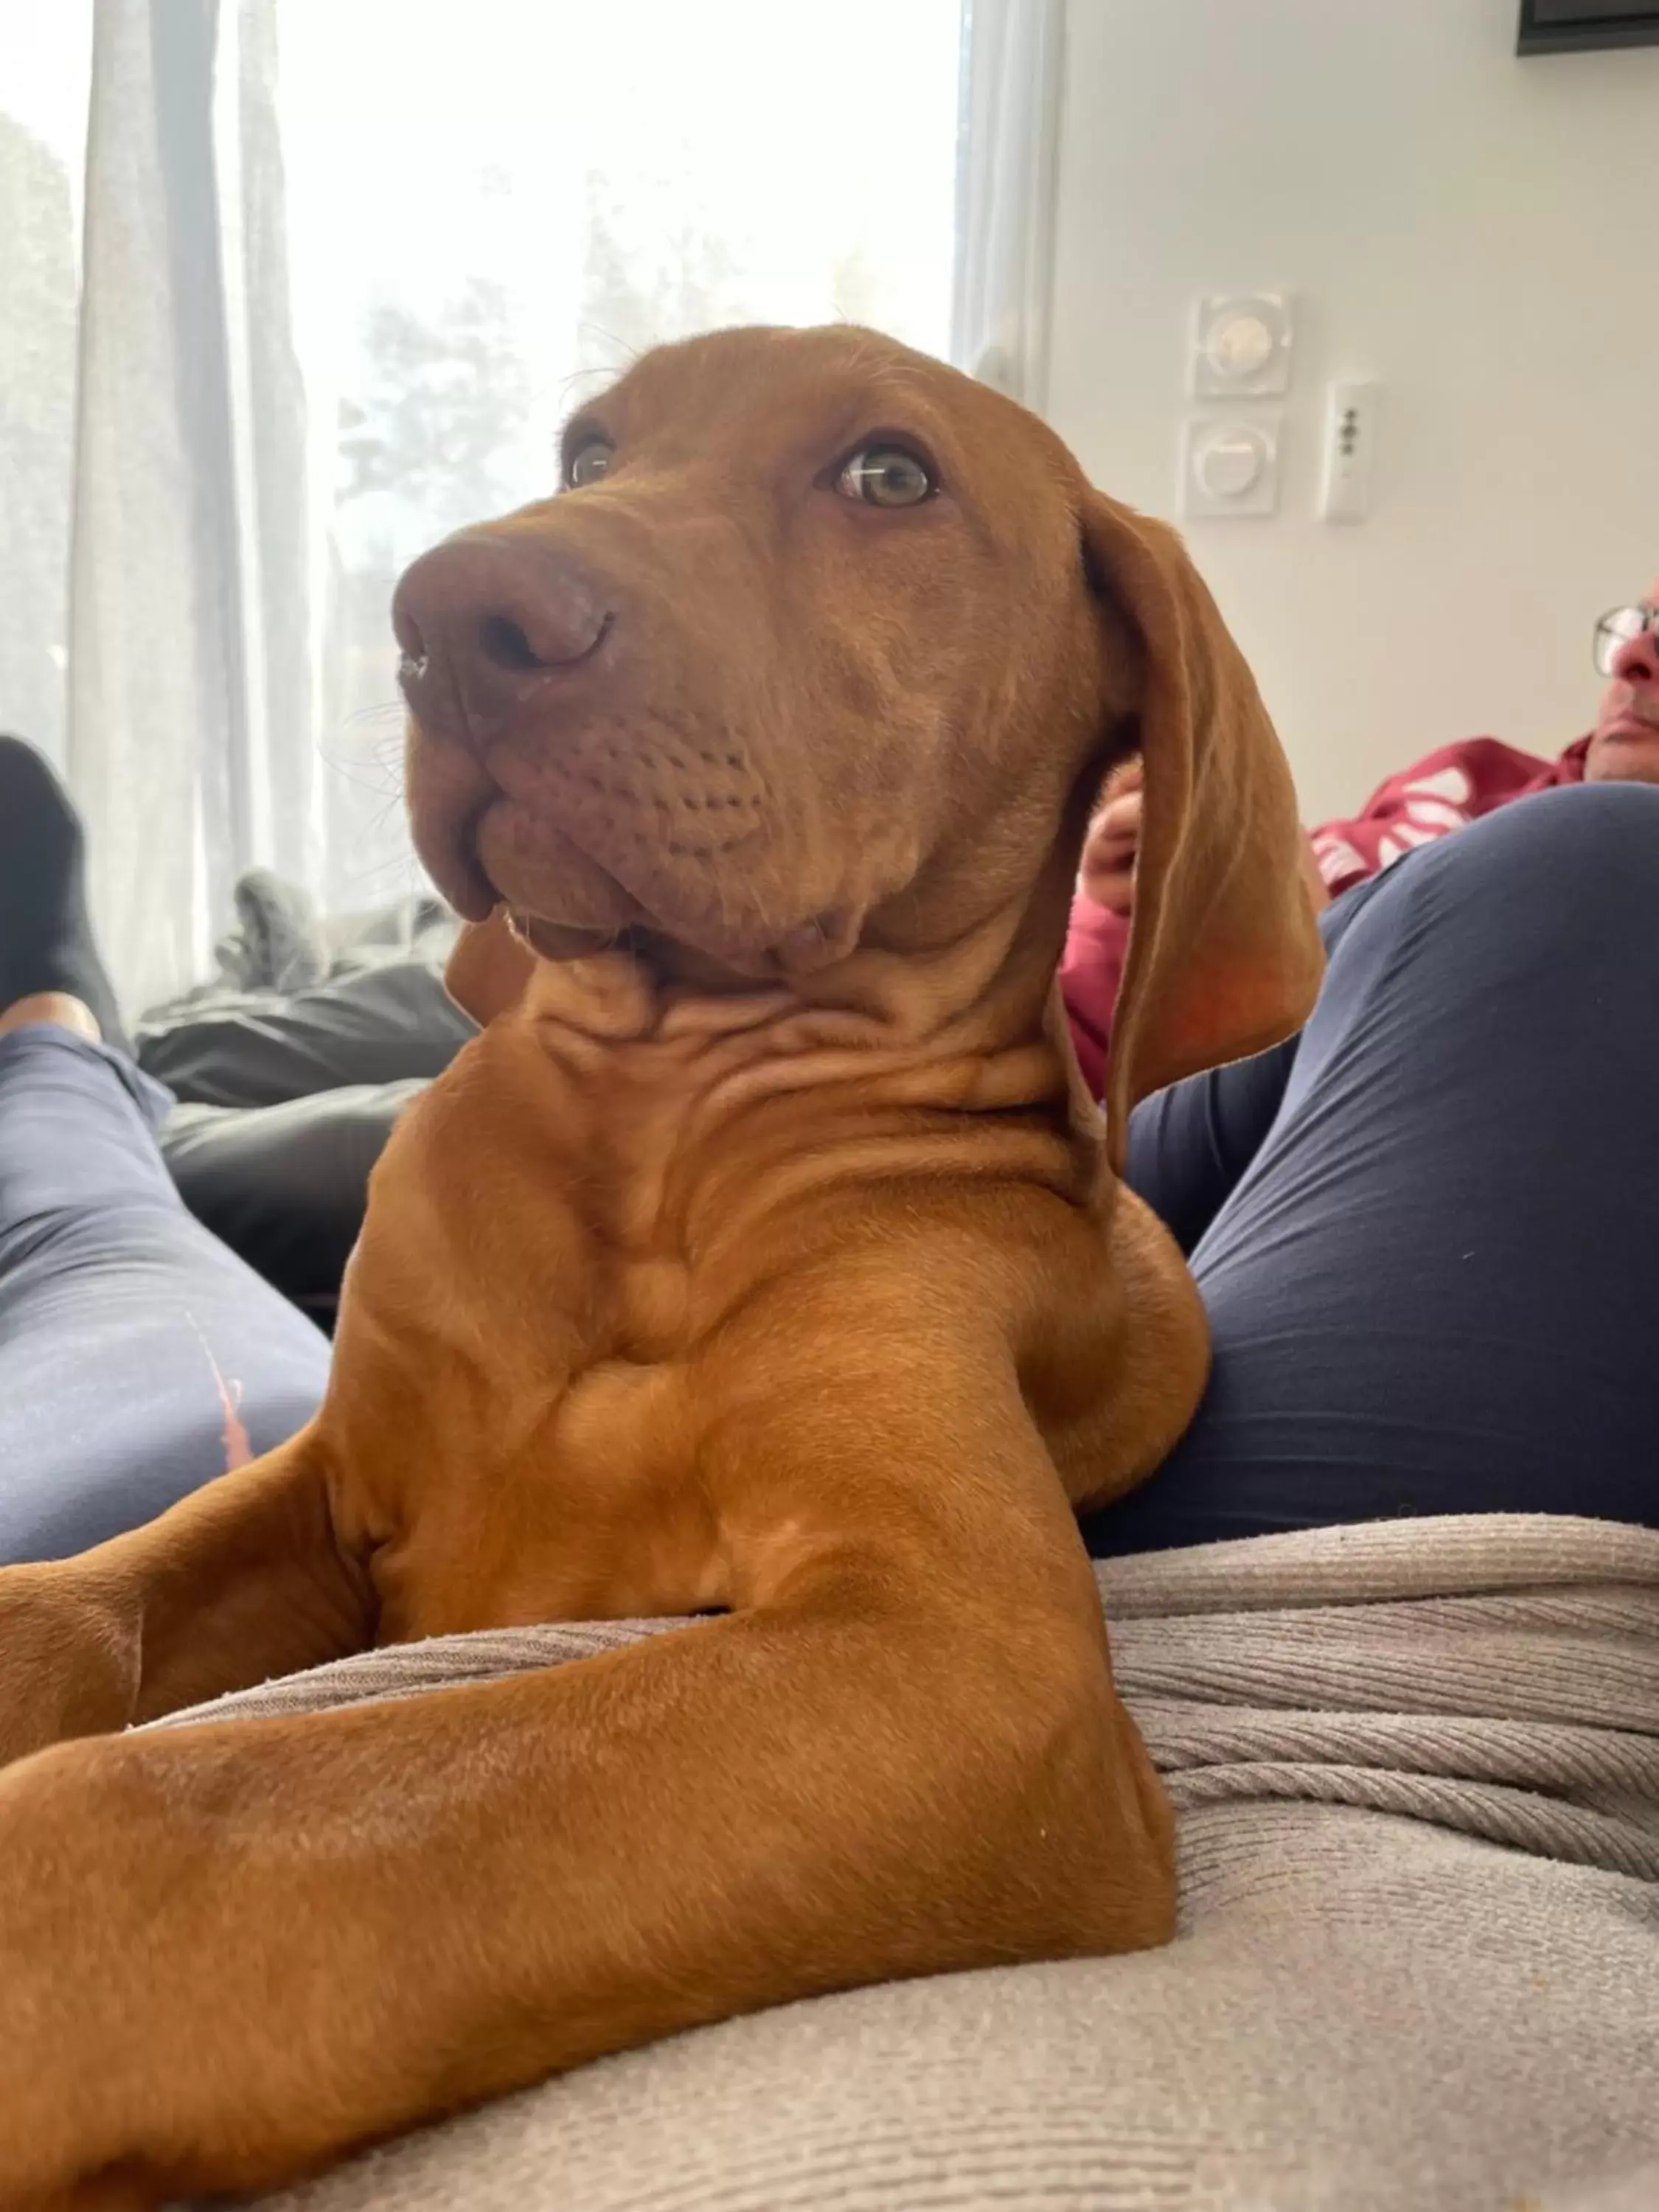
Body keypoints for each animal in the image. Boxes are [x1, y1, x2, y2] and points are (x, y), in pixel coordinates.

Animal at [0, 321, 1327, 2203]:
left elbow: (212, 1800)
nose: (448, 611)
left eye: (889, 475)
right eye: (586, 454)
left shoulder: (958, 1651)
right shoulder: (335, 1485)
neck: (658, 1117)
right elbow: (82, 1600)